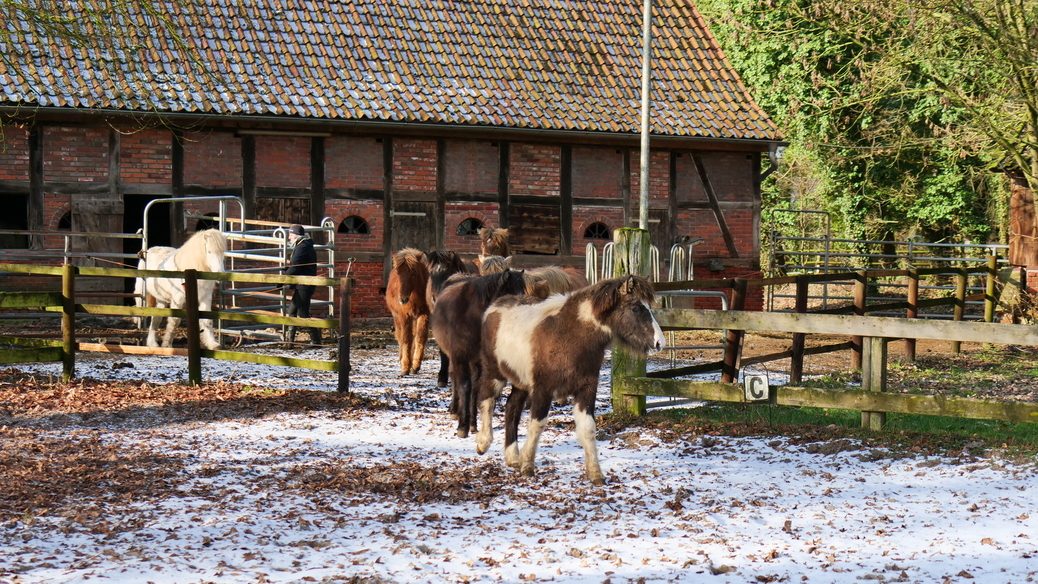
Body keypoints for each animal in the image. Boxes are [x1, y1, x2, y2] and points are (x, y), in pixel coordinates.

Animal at [386, 247, 429, 377]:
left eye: (414, 274)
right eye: (398, 273)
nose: (403, 299)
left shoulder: (424, 314)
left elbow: (420, 337)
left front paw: (415, 365)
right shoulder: (404, 316)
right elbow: (406, 338)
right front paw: (405, 367)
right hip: (397, 317)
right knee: (400, 335)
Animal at [475, 275, 664, 487]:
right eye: (636, 308)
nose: (660, 342)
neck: (570, 335)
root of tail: (495, 307)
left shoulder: (586, 389)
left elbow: (588, 428)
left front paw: (596, 474)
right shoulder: (543, 389)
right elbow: (537, 424)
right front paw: (528, 465)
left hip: (520, 381)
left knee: (512, 408)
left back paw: (512, 456)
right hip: (494, 373)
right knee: (487, 400)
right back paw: (483, 443)